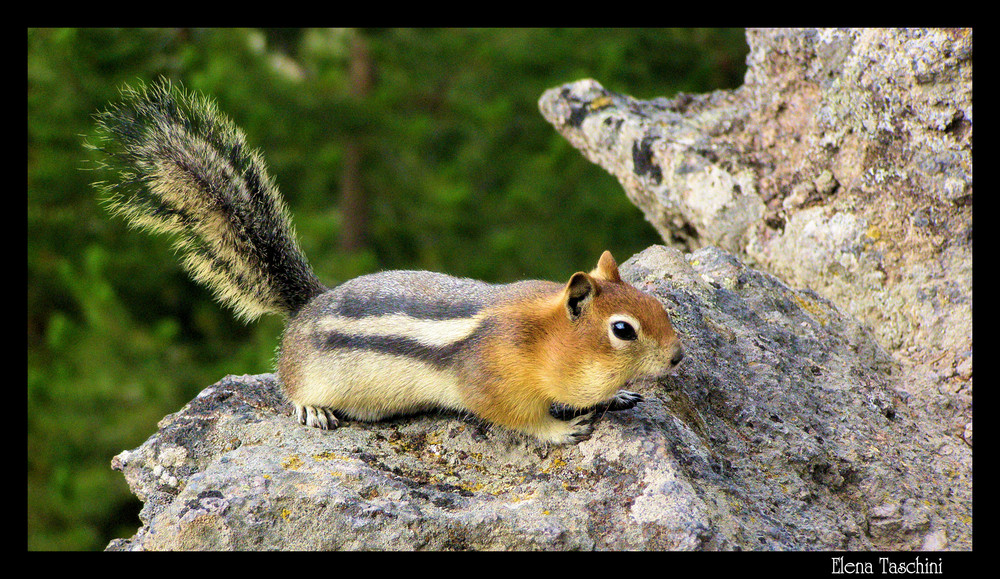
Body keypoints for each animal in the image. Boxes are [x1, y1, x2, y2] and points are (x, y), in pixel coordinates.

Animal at [90, 80, 684, 444]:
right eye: (623, 330)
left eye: (657, 304)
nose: (679, 357)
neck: (546, 340)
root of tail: (309, 303)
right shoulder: (491, 378)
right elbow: (514, 416)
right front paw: (560, 430)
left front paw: (617, 395)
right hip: (306, 372)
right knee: (289, 387)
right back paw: (312, 410)